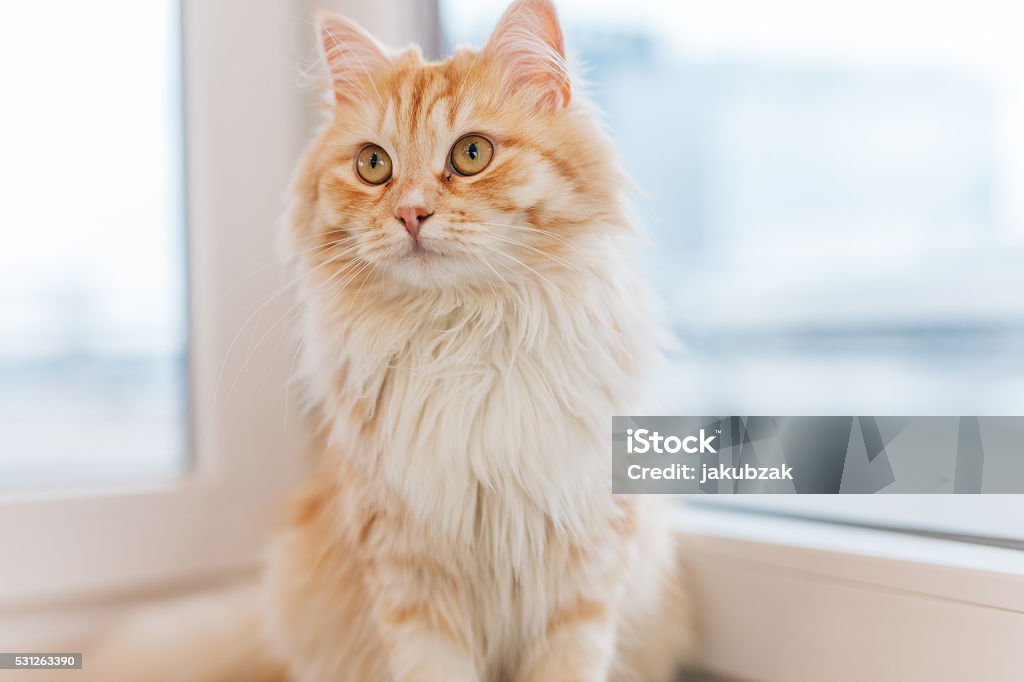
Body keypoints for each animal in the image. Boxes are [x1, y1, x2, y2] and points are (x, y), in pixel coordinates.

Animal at [74, 1, 696, 679]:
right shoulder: (410, 574)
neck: (460, 339)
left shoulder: (584, 573)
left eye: (472, 153)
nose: (411, 214)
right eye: (374, 165)